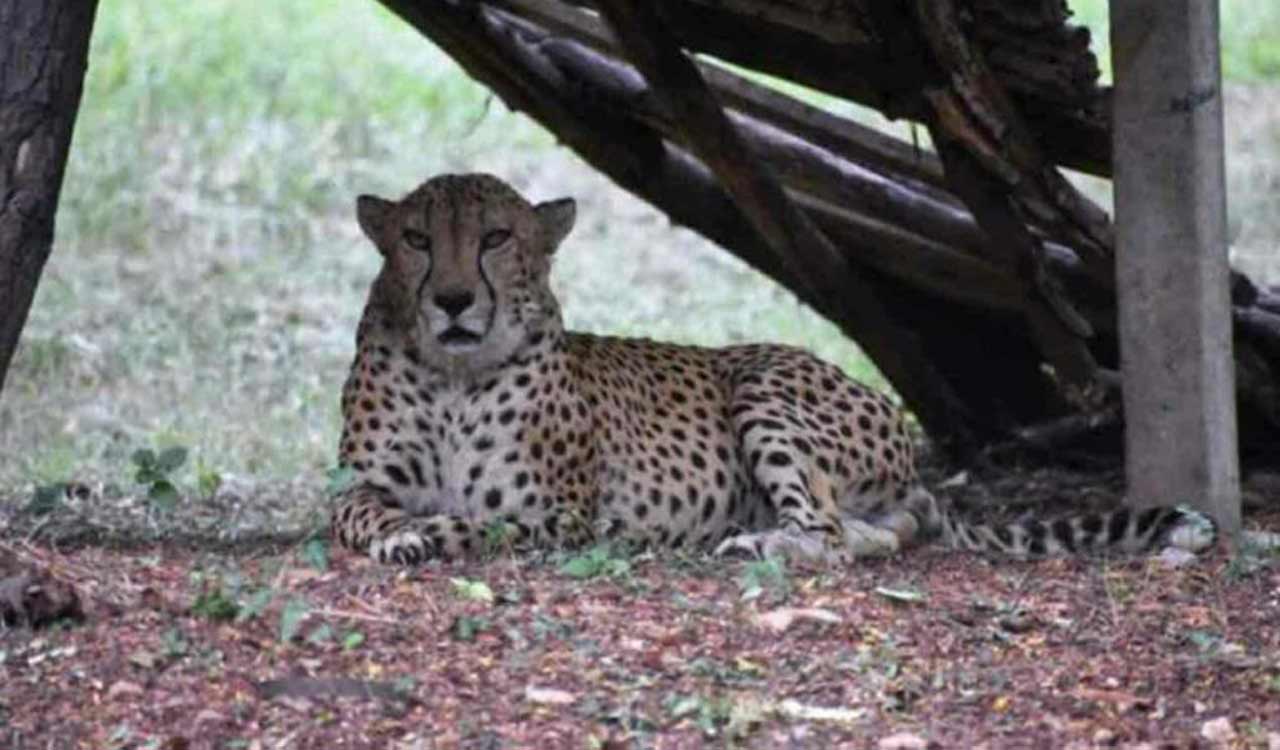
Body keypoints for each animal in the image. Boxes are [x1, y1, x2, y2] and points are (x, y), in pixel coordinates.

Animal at [330, 173, 1216, 566]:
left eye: (495, 238)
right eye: (416, 240)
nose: (451, 300)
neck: (455, 375)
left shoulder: (563, 515)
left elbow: (485, 521)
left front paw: (431, 532)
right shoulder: (355, 485)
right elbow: (361, 514)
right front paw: (403, 533)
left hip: (763, 388)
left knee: (825, 532)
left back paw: (758, 542)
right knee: (870, 536)